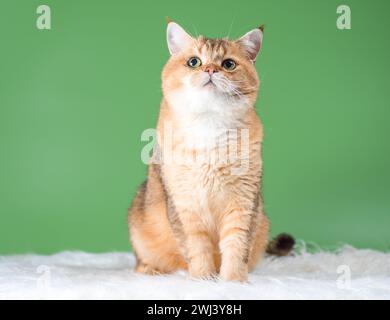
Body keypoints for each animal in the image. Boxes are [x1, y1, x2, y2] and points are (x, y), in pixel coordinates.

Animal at [129, 20, 294, 282]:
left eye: (228, 64)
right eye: (193, 62)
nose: (209, 70)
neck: (209, 126)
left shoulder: (243, 202)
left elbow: (237, 246)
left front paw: (232, 281)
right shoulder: (184, 205)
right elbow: (196, 248)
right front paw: (204, 278)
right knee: (141, 262)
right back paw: (152, 270)